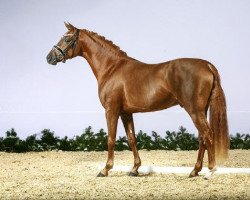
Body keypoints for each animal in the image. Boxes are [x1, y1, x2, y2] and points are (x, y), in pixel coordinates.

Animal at [46, 23, 229, 178]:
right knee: (202, 137)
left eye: (67, 39)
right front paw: (134, 169)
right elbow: (131, 139)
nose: (49, 57)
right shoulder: (126, 113)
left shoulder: (111, 110)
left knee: (208, 135)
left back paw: (210, 170)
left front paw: (105, 169)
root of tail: (207, 65)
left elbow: (111, 138)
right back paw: (194, 171)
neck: (111, 68)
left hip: (194, 110)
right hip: (201, 110)